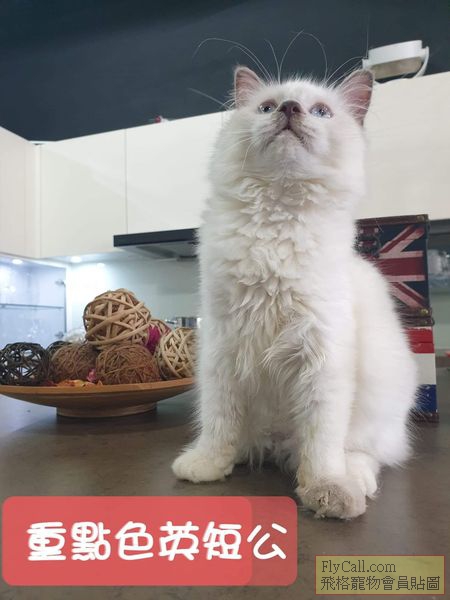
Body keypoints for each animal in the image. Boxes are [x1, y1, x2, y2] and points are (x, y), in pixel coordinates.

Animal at [172, 65, 417, 519]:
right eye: (267, 107)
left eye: (320, 111)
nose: (289, 109)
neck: (276, 215)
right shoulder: (222, 348)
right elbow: (218, 421)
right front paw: (208, 465)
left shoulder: (323, 356)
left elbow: (321, 442)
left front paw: (324, 489)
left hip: (380, 403)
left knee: (363, 453)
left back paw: (352, 485)